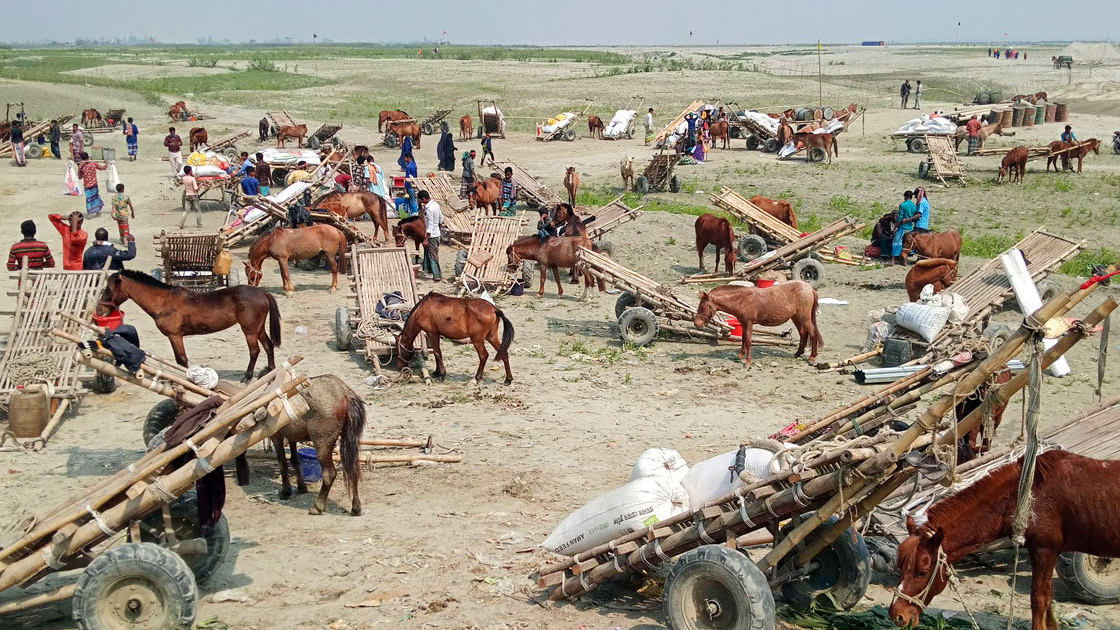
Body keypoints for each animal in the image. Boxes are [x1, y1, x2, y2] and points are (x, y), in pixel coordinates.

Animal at [98, 269, 282, 381]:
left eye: (107, 290)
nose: (100, 310)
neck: (163, 303)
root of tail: (262, 292)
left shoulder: (175, 336)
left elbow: (181, 359)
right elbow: (179, 360)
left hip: (249, 330)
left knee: (255, 350)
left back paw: (247, 376)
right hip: (258, 328)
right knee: (268, 345)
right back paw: (269, 371)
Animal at [268, 372, 365, 515]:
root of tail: (345, 392)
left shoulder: (277, 436)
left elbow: (282, 464)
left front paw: (286, 491)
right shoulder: (292, 437)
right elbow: (295, 460)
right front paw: (301, 487)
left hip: (322, 444)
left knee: (329, 474)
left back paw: (318, 506)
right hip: (349, 442)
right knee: (353, 470)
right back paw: (356, 507)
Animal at [689, 279, 824, 363]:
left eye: (702, 307)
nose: (697, 323)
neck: (741, 300)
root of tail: (809, 288)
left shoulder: (749, 323)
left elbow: (749, 341)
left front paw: (748, 361)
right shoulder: (744, 323)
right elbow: (744, 339)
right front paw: (741, 355)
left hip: (804, 318)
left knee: (812, 333)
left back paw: (812, 357)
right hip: (796, 317)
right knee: (803, 333)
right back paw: (798, 353)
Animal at [891, 448, 1120, 627]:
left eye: (923, 571)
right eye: (900, 565)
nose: (897, 614)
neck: (1028, 491)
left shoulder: (1045, 549)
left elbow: (1039, 601)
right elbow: (1048, 604)